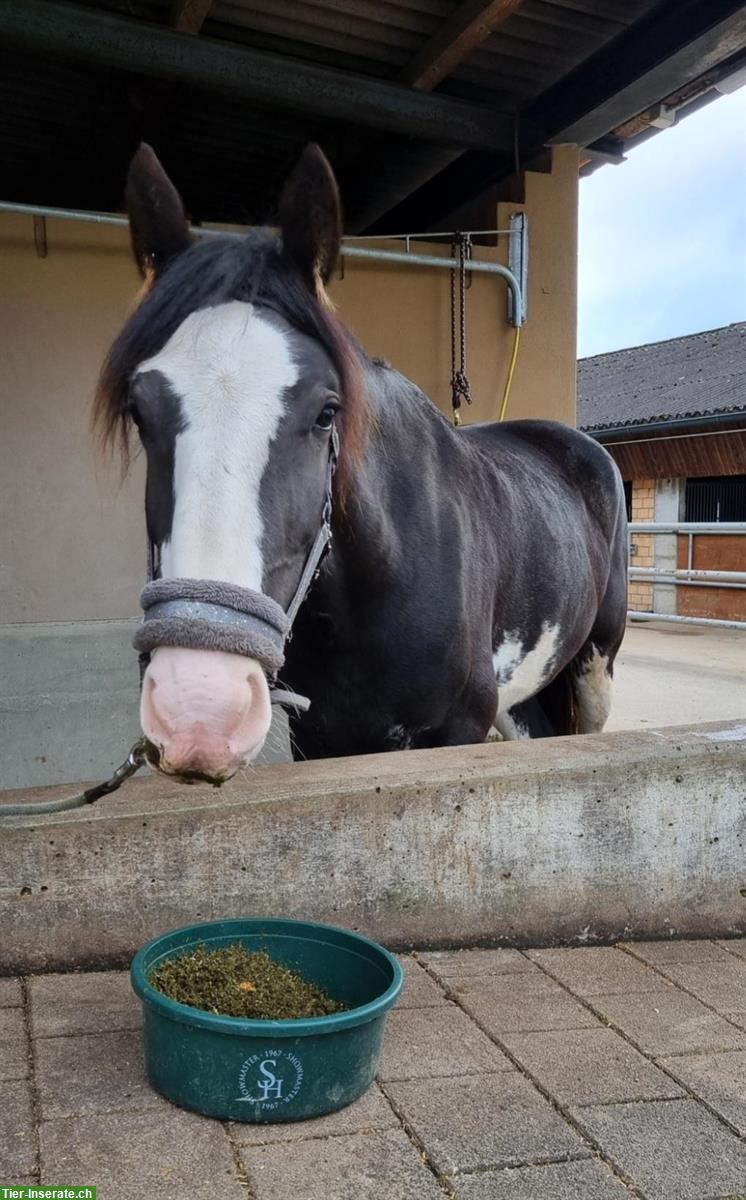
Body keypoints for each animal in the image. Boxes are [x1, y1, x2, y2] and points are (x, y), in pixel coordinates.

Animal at [96, 140, 628, 782]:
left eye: (327, 412)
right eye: (139, 411)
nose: (201, 706)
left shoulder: (457, 732)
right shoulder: (322, 737)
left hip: (594, 670)